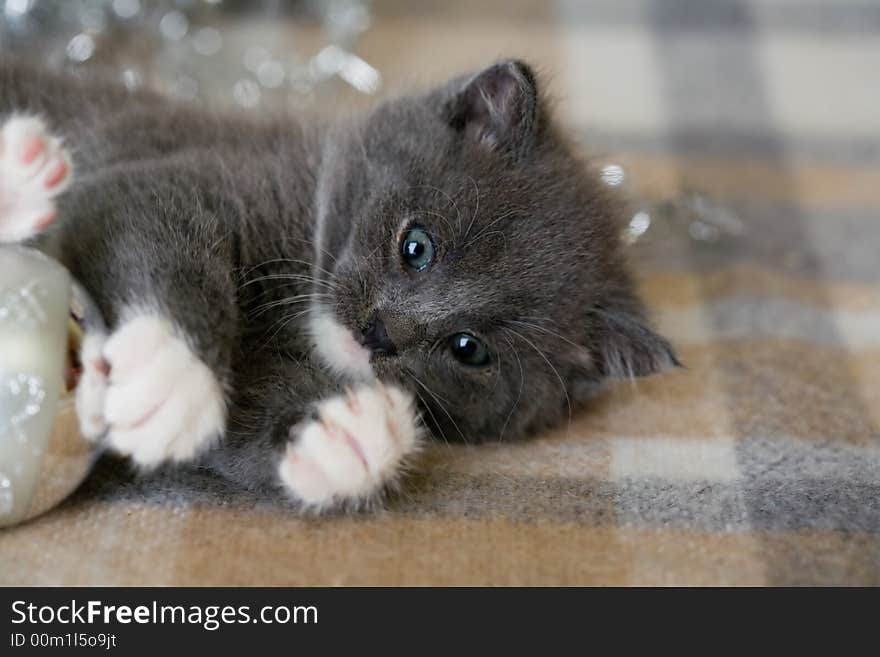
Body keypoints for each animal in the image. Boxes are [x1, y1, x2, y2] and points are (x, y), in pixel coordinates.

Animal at [0, 59, 676, 510]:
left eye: (469, 349)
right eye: (417, 246)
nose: (381, 332)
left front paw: (340, 435)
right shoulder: (151, 178)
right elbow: (153, 224)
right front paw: (170, 375)